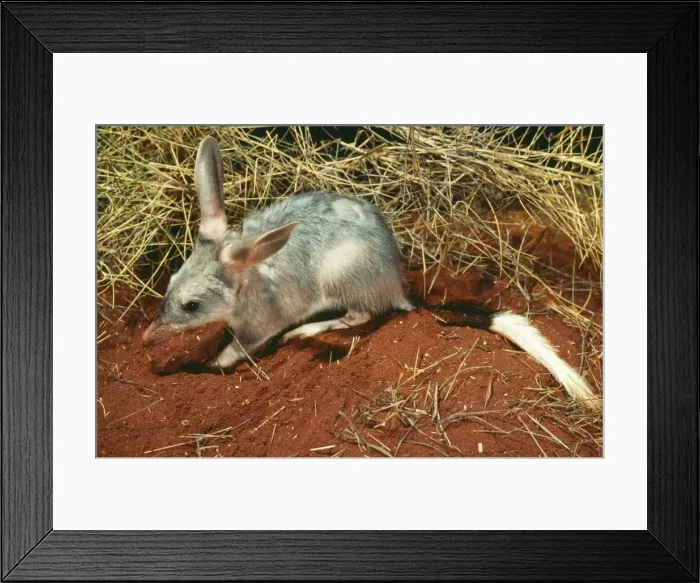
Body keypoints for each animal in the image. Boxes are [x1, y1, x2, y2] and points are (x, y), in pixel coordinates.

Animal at [142, 136, 600, 410]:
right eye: (169, 284)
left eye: (191, 305)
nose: (145, 339)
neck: (247, 280)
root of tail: (398, 287)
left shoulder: (259, 325)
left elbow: (232, 353)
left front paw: (202, 367)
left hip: (339, 276)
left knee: (359, 316)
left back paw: (306, 331)